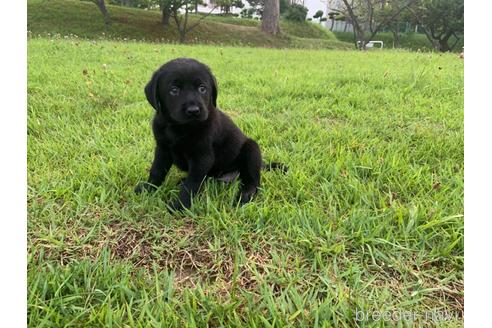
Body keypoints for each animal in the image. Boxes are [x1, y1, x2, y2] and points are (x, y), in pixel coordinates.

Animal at [135, 58, 284, 211]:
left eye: (202, 88)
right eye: (174, 90)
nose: (193, 111)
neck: (179, 128)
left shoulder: (202, 157)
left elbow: (192, 184)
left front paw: (179, 205)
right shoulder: (162, 149)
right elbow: (156, 170)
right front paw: (148, 188)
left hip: (252, 149)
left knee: (253, 180)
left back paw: (246, 194)